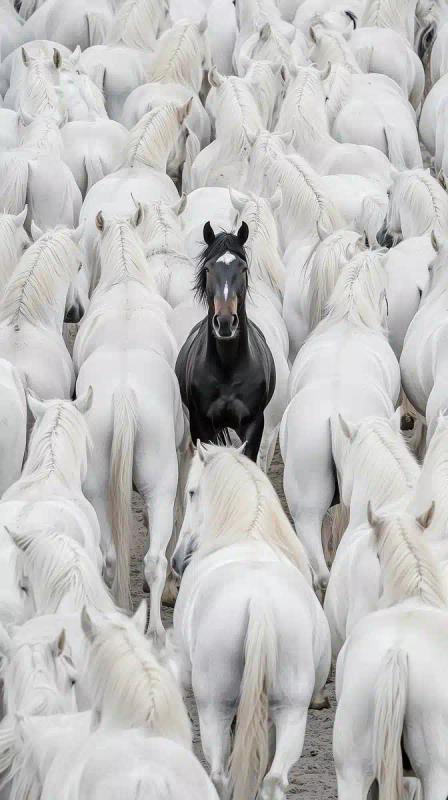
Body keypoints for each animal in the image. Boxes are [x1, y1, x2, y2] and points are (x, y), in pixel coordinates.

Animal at [172, 444, 330, 800]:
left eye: (191, 492)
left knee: (220, 773)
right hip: (291, 709)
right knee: (274, 778)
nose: (177, 559)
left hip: (214, 706)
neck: (248, 534)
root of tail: (259, 602)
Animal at [175, 222, 276, 462]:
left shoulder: (254, 424)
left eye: (243, 268)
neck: (228, 366)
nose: (225, 322)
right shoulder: (201, 425)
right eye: (208, 269)